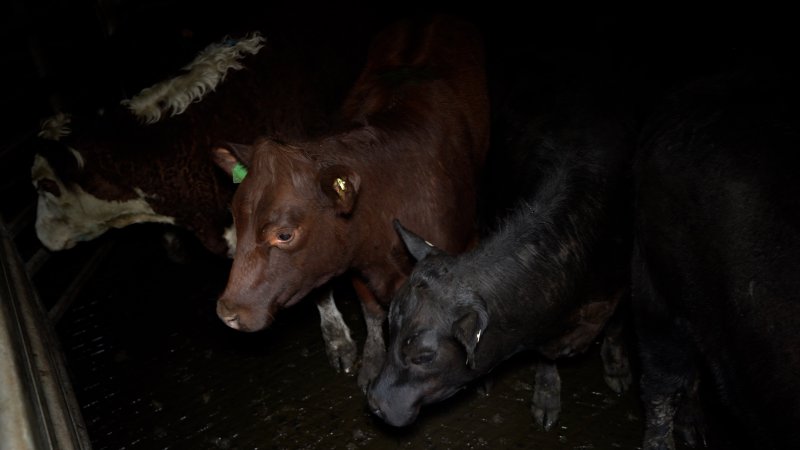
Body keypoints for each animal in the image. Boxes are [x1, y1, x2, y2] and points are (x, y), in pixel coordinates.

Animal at [209, 14, 490, 390]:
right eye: (236, 219)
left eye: (284, 234)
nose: (227, 313)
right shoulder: (355, 256)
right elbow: (371, 310)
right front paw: (372, 361)